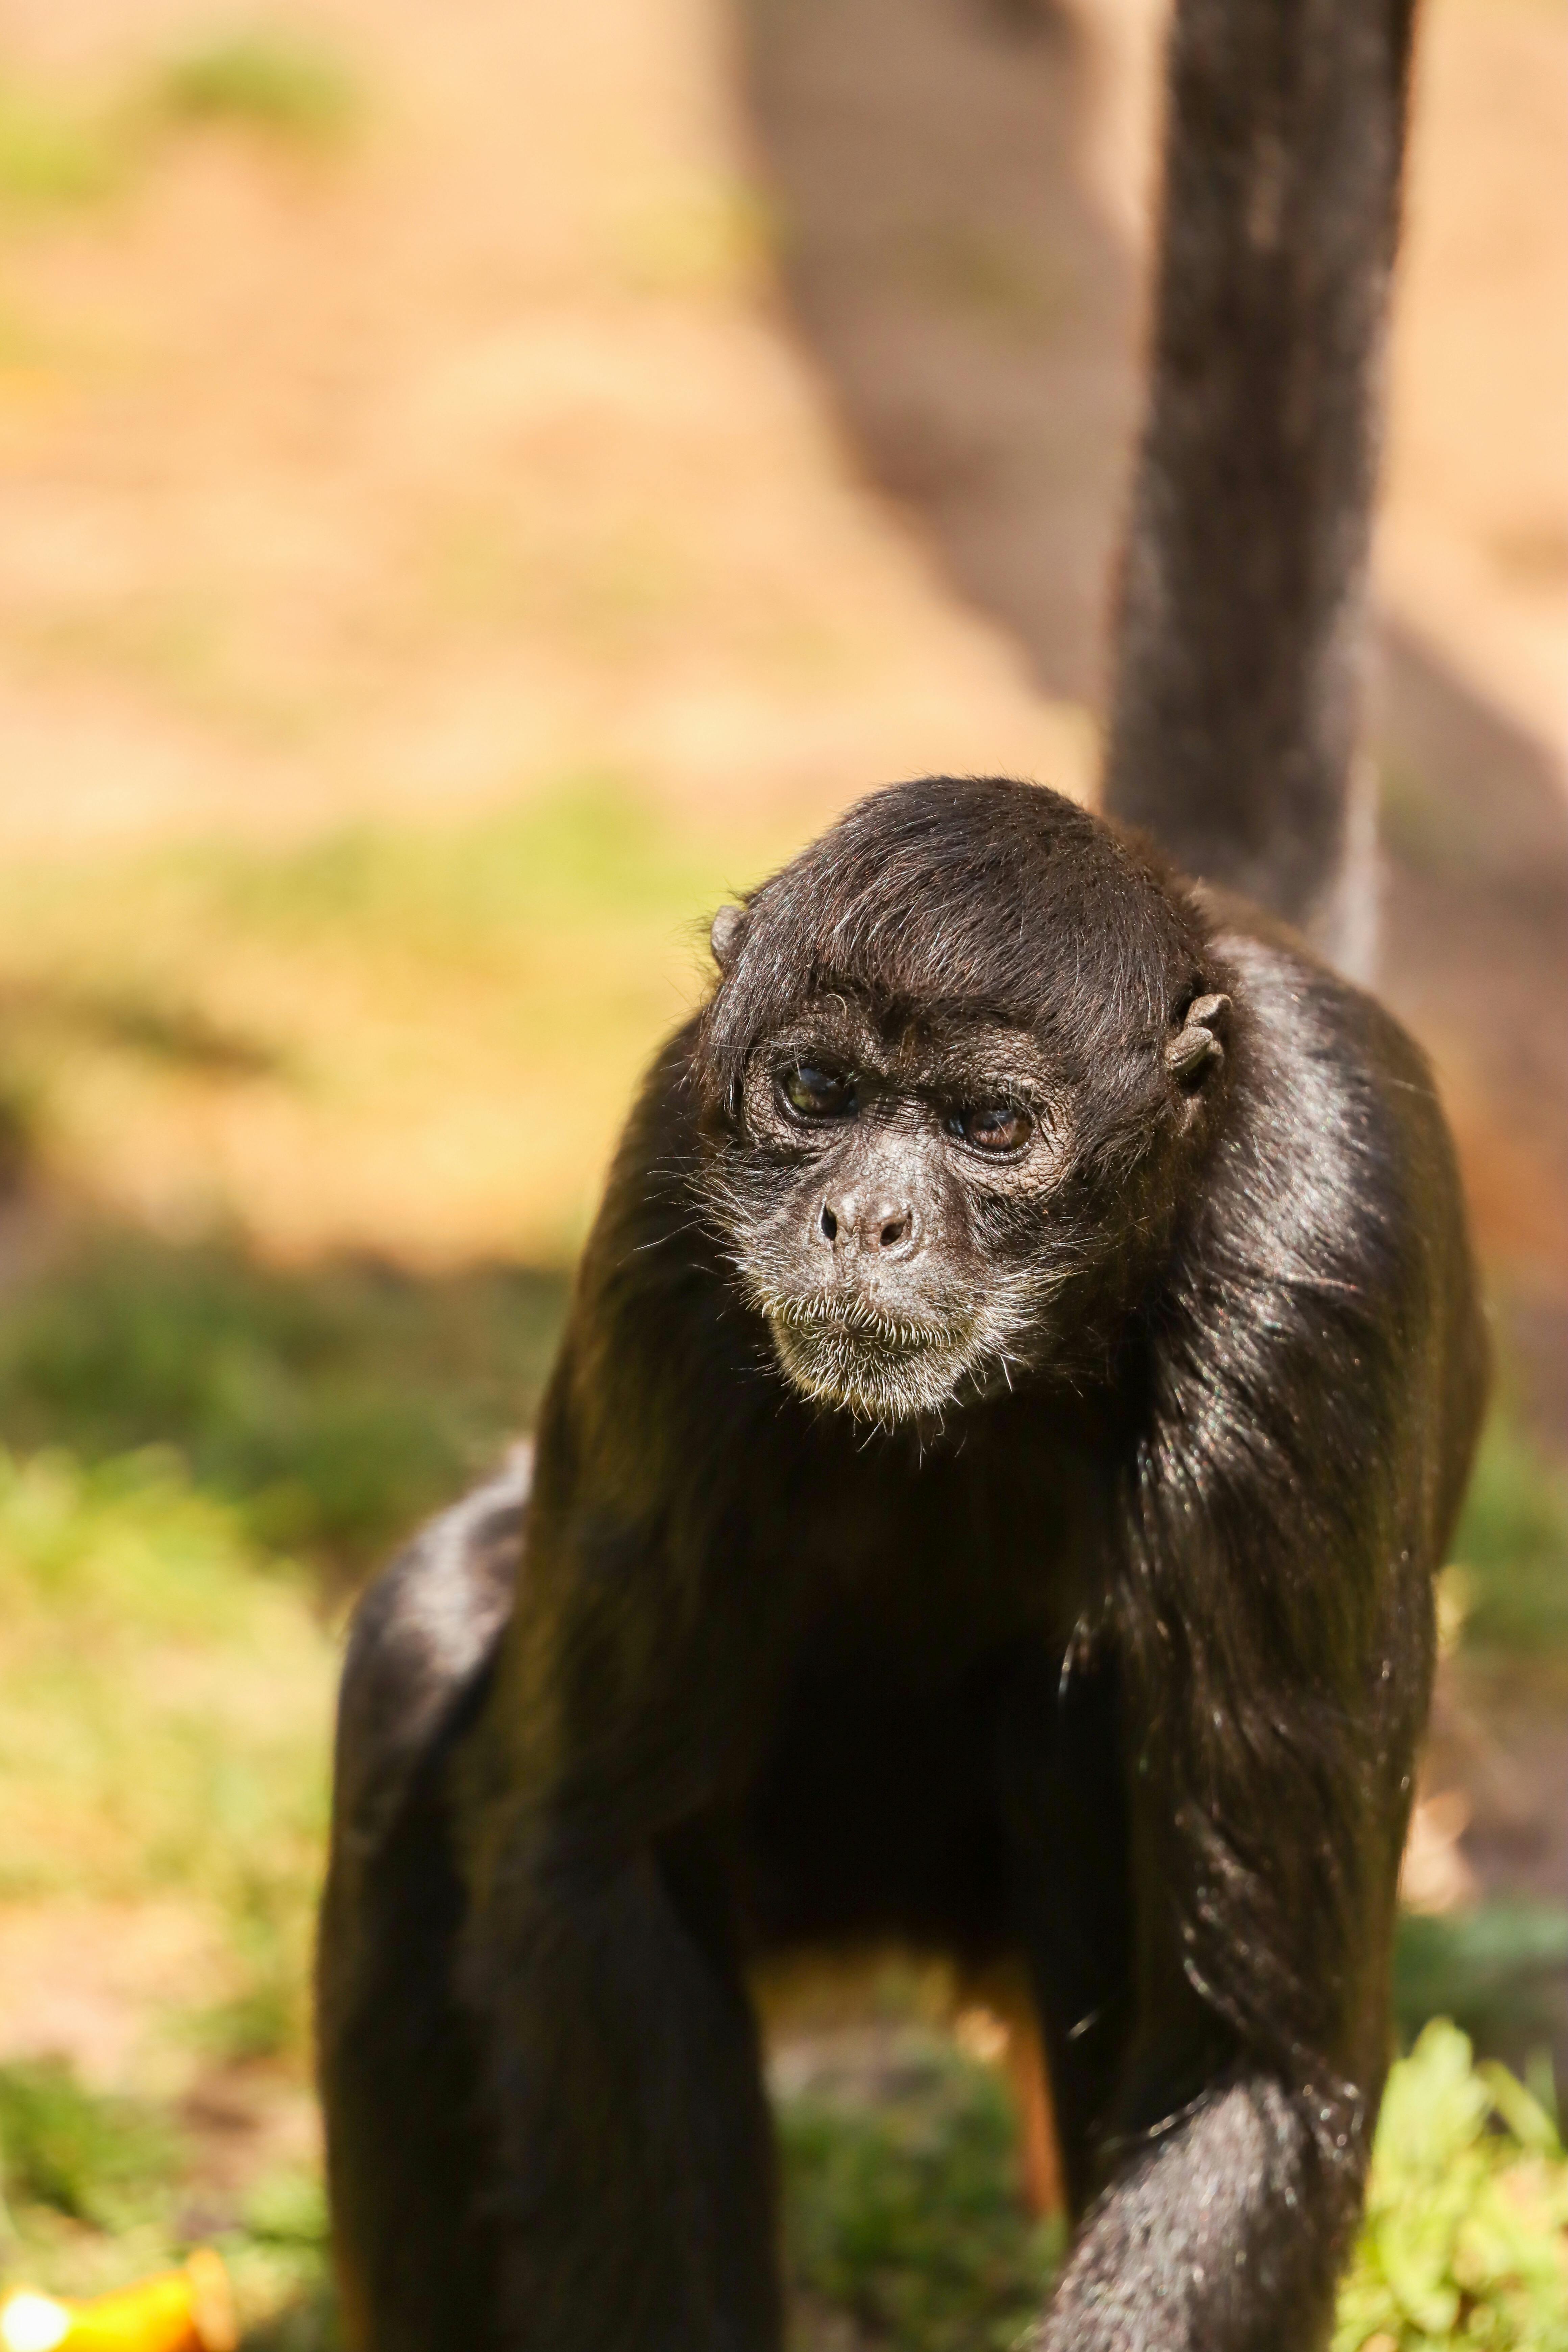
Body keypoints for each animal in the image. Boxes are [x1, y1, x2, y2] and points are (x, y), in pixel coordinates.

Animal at [315, 0, 1486, 2333]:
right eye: (813, 1093)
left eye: (986, 1128)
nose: (860, 1216)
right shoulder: (663, 1211)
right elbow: (588, 1848)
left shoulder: (1326, 1278)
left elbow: (1262, 2065)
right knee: (427, 1652)